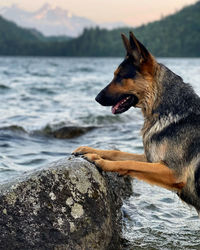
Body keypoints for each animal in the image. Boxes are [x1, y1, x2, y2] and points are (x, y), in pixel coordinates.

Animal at [73, 31, 200, 213]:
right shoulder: (151, 160)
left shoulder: (173, 173)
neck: (166, 109)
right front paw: (89, 149)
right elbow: (117, 154)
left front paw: (99, 160)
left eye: (120, 76)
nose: (96, 98)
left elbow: (129, 161)